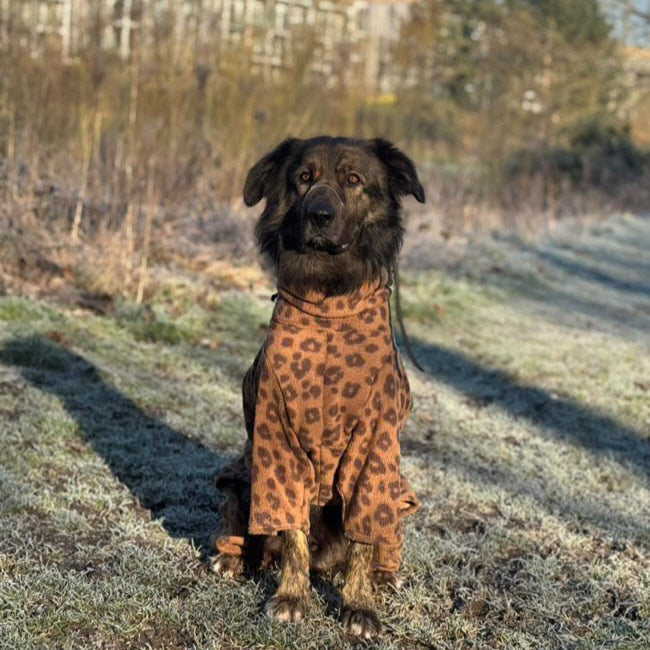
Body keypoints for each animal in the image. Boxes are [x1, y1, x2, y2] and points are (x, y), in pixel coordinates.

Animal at [211, 134, 426, 636]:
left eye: (353, 179)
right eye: (303, 178)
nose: (320, 216)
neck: (329, 303)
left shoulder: (374, 452)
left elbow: (363, 539)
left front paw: (360, 605)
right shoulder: (277, 439)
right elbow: (291, 531)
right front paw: (292, 596)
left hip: (400, 494)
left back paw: (384, 576)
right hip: (240, 477)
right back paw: (231, 559)